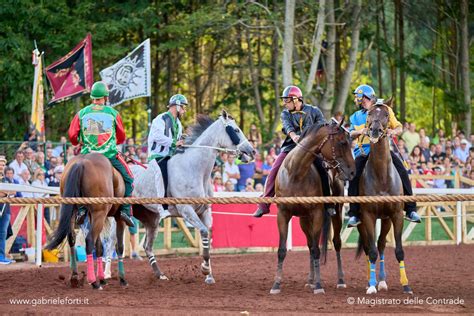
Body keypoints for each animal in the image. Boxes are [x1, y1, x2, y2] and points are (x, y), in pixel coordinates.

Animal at [45, 152, 130, 288]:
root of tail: (81, 162)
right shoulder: (118, 218)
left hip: (73, 211)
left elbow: (99, 246)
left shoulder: (92, 216)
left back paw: (75, 276)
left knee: (72, 238)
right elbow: (119, 247)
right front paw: (122, 279)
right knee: (89, 240)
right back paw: (93, 281)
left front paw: (102, 278)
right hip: (100, 214)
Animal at [130, 110, 256, 284]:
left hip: (152, 219)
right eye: (236, 130)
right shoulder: (187, 211)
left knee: (147, 247)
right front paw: (205, 269)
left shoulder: (204, 211)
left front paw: (209, 275)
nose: (252, 151)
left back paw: (160, 274)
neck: (194, 169)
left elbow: (207, 236)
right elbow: (203, 232)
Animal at [268, 119, 354, 296]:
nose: (352, 172)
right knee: (309, 244)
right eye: (342, 142)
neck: (296, 173)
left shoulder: (317, 214)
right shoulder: (283, 214)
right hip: (304, 219)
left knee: (336, 243)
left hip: (336, 214)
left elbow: (316, 250)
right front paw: (276, 284)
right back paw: (310, 280)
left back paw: (340, 280)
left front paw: (319, 285)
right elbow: (282, 250)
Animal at [358, 100, 412, 296]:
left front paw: (406, 285)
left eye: (387, 114)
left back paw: (381, 280)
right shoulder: (368, 216)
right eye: (369, 114)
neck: (381, 176)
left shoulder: (395, 215)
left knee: (381, 244)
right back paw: (371, 280)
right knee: (369, 248)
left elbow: (399, 251)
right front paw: (372, 285)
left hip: (386, 219)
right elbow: (372, 251)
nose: (374, 130)